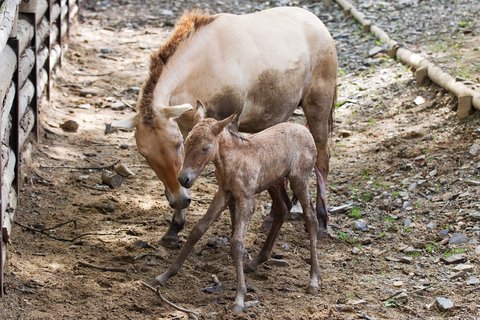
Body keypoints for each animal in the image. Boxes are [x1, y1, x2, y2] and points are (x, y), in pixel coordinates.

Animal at [112, 6, 338, 248]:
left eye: (177, 145)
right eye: (144, 154)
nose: (179, 200)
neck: (203, 64)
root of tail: (319, 24)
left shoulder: (230, 125)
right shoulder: (190, 127)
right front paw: (174, 228)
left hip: (317, 108)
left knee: (323, 159)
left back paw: (322, 222)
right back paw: (273, 218)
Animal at [158, 111, 320, 314]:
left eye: (205, 148)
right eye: (186, 144)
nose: (183, 179)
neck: (231, 161)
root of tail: (305, 130)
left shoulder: (246, 200)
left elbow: (236, 242)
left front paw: (240, 299)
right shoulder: (223, 193)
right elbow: (198, 229)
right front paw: (166, 274)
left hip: (300, 179)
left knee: (310, 217)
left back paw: (313, 280)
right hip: (274, 181)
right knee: (283, 209)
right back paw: (256, 261)